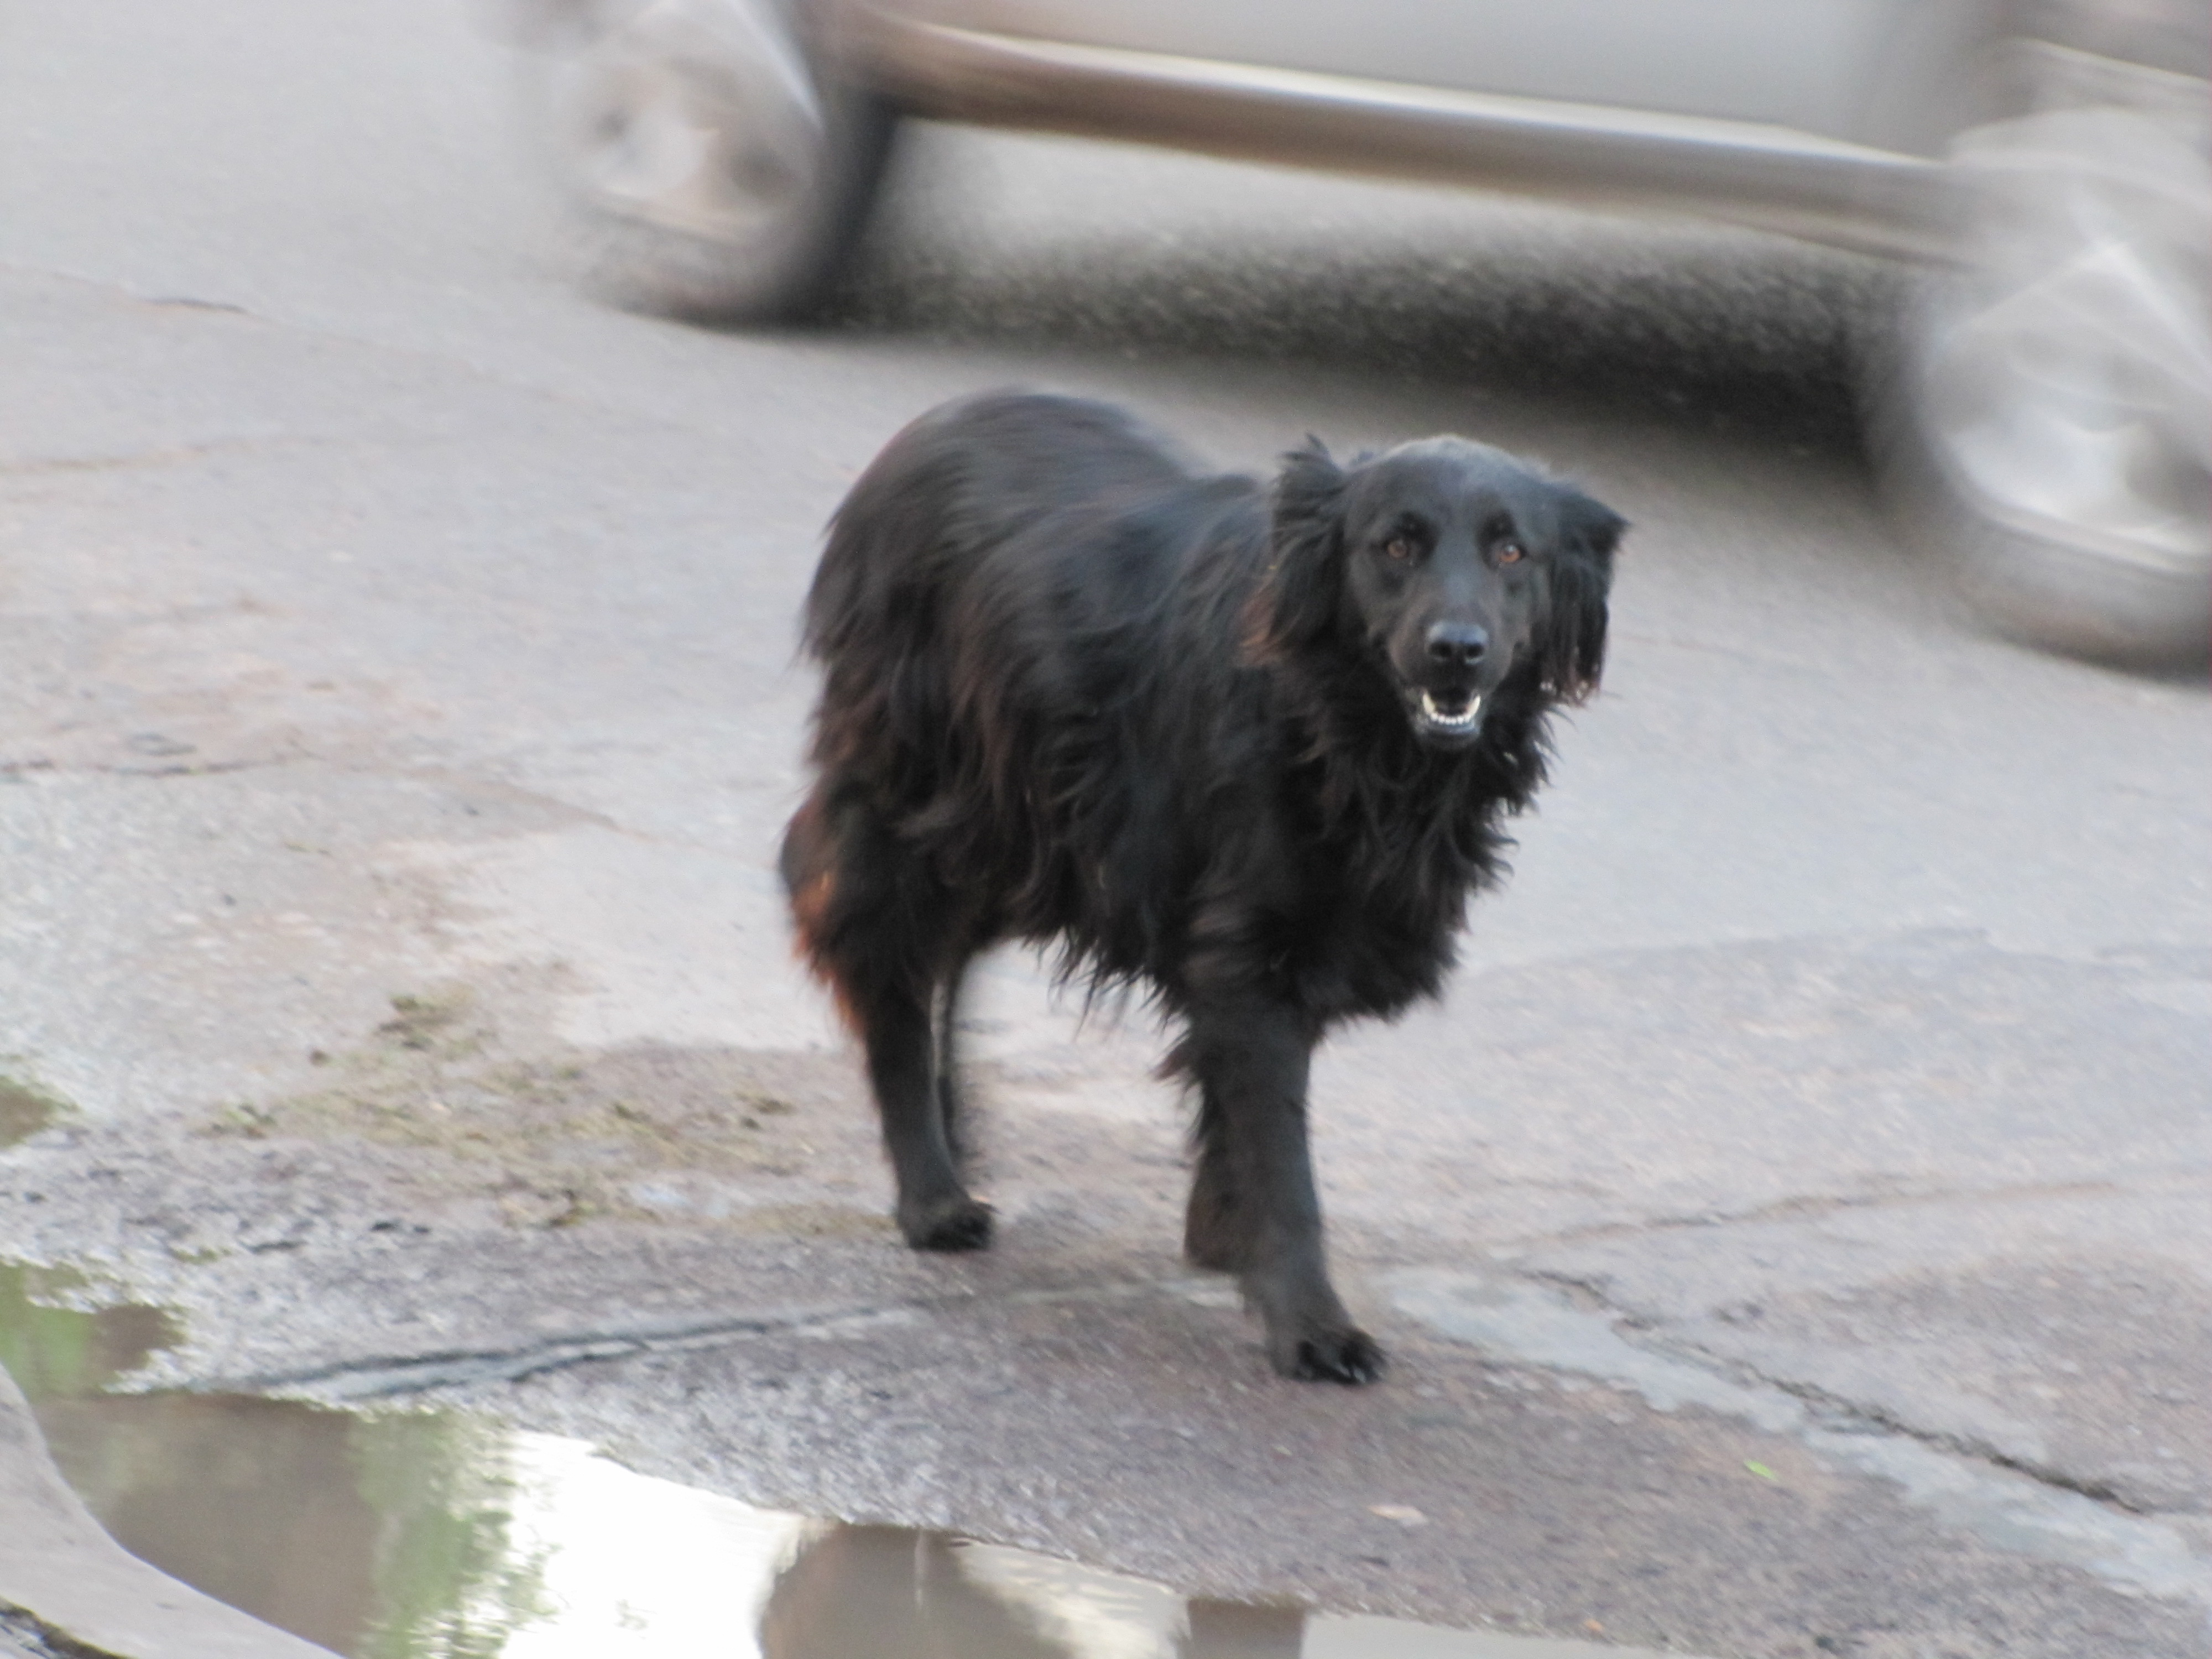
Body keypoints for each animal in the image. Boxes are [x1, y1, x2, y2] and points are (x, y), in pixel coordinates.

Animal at [787, 396, 1619, 1380]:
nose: (1457, 651)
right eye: (1396, 544)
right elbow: (1281, 1151)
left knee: (949, 955)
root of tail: (924, 430)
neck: (1353, 733)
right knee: (881, 962)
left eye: (1512, 552)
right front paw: (1309, 1321)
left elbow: (1236, 1115)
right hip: (922, 797)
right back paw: (930, 1194)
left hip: (1027, 833)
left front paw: (1225, 1236)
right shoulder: (1251, 945)